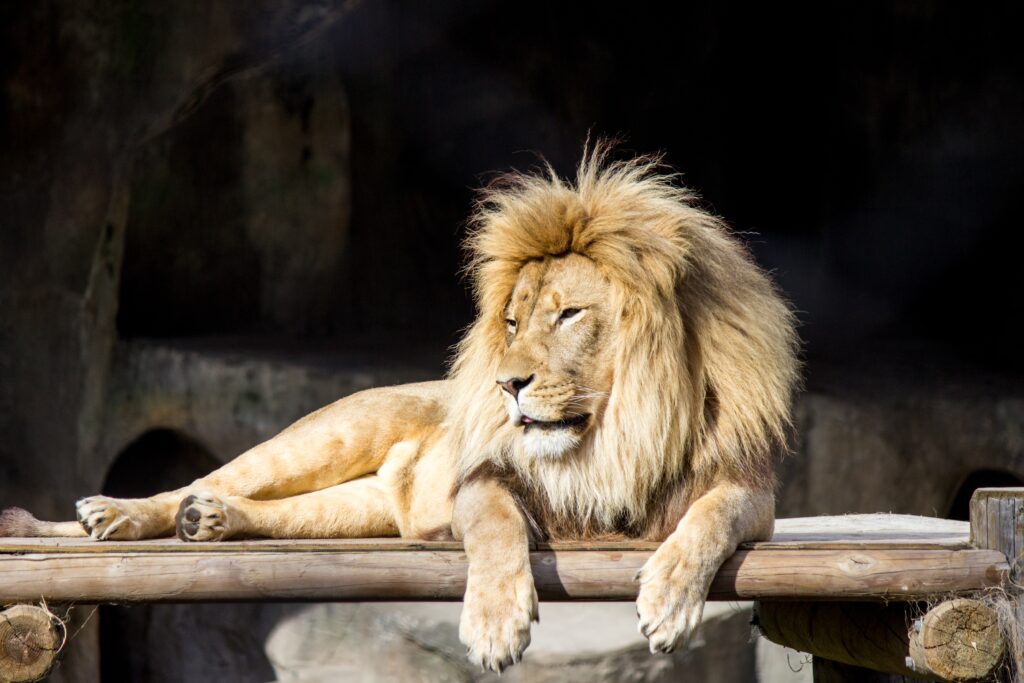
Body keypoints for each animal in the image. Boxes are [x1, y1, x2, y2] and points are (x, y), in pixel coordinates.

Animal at [1, 144, 799, 672]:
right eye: (513, 321)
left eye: (569, 314)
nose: (507, 384)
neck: (612, 436)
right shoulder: (483, 481)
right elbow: (498, 530)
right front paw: (493, 625)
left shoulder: (749, 492)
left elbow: (708, 520)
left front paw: (668, 599)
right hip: (325, 434)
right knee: (209, 477)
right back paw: (116, 514)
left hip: (357, 508)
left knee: (272, 509)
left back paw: (213, 521)